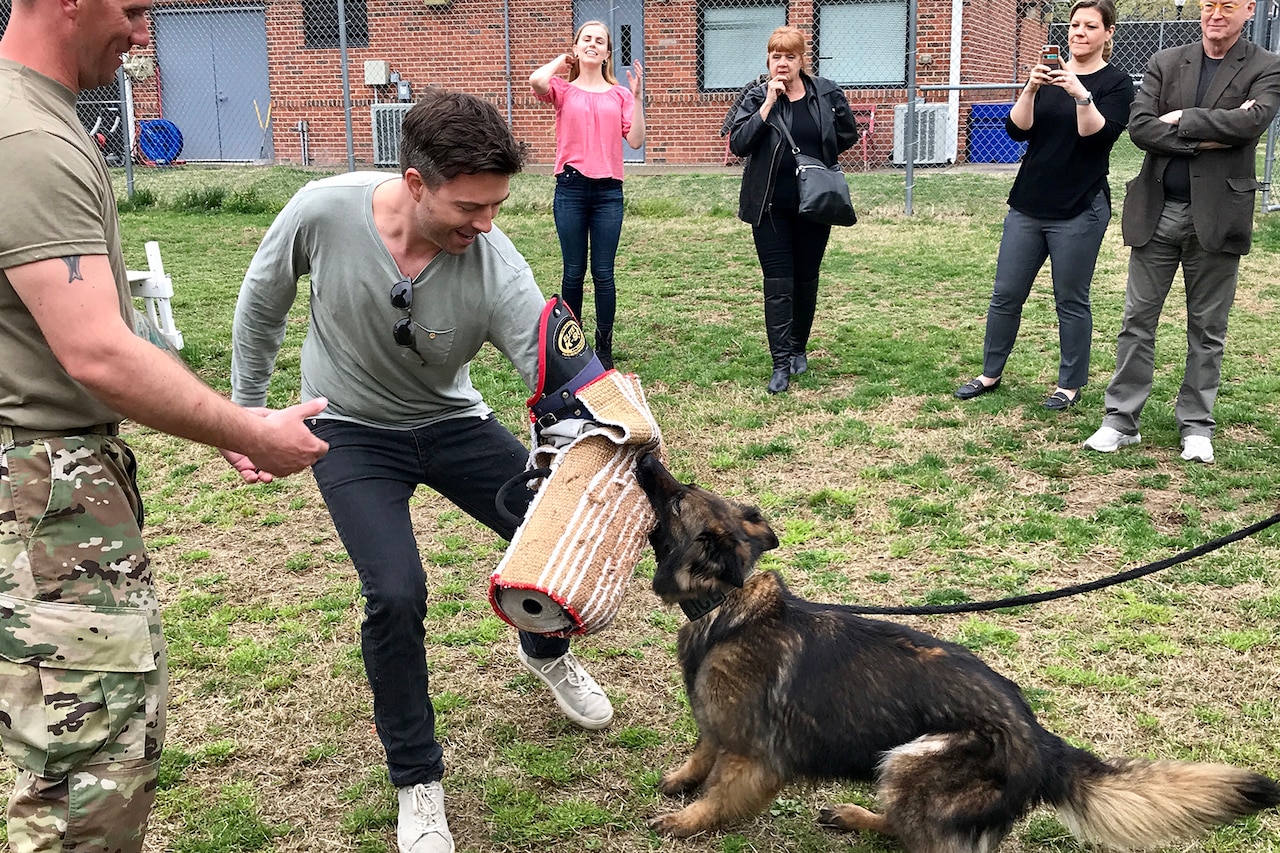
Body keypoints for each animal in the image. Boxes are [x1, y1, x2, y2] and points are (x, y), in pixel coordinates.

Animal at [632, 455, 1280, 845]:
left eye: (676, 498)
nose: (644, 458)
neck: (724, 604)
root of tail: (1043, 745)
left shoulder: (753, 759)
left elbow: (719, 795)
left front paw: (685, 820)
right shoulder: (718, 725)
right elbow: (702, 749)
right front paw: (681, 780)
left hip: (914, 758)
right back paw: (855, 816)